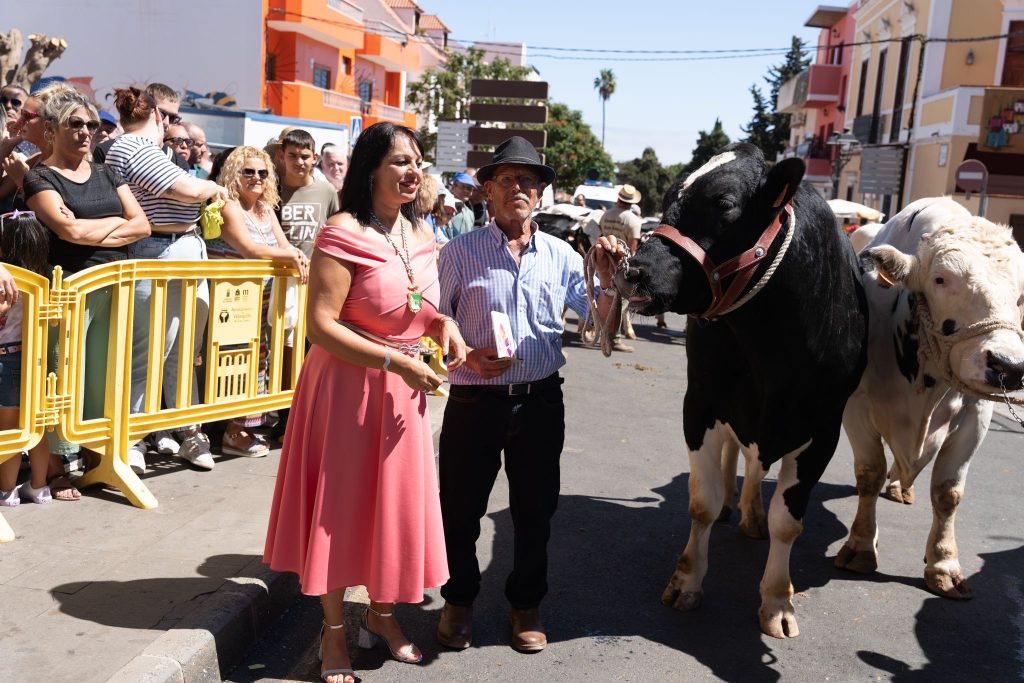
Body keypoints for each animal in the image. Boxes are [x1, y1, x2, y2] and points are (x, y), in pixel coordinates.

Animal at [610, 141, 868, 638]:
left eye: (725, 204)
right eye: (667, 197)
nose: (633, 271)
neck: (770, 347)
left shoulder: (823, 430)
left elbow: (788, 523)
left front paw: (778, 601)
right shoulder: (699, 404)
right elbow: (702, 503)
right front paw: (686, 582)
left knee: (755, 467)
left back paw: (752, 513)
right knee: (738, 456)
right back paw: (737, 504)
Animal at [835, 197, 1019, 598]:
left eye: (1020, 295)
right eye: (940, 278)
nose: (1010, 366)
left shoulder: (977, 415)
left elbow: (948, 492)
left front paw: (943, 564)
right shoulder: (855, 406)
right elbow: (868, 473)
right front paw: (861, 547)